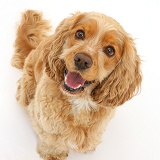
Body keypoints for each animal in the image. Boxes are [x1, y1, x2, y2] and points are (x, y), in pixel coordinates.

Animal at [11, 10, 141, 160]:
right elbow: (49, 138)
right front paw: (52, 153)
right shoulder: (40, 117)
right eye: (80, 34)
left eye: (110, 50)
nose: (82, 60)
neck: (81, 100)